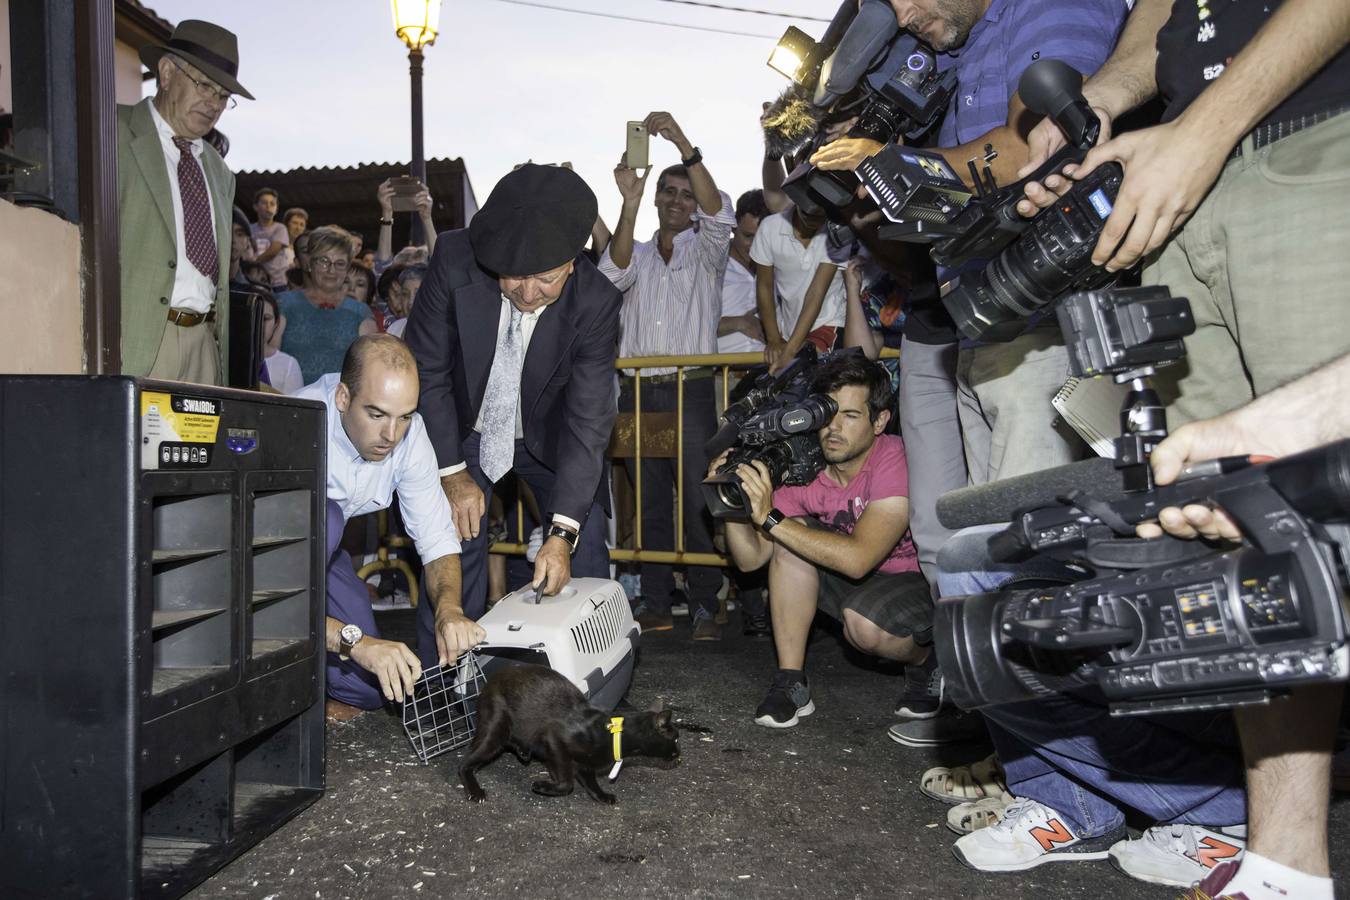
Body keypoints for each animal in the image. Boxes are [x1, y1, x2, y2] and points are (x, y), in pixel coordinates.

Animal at [461, 666, 680, 804]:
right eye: (675, 738)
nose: (679, 755)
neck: (613, 735)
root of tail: (490, 679)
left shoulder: (584, 763)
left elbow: (590, 783)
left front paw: (602, 796)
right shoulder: (556, 742)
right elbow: (567, 784)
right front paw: (541, 786)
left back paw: (524, 752)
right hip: (496, 728)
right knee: (465, 762)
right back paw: (476, 791)